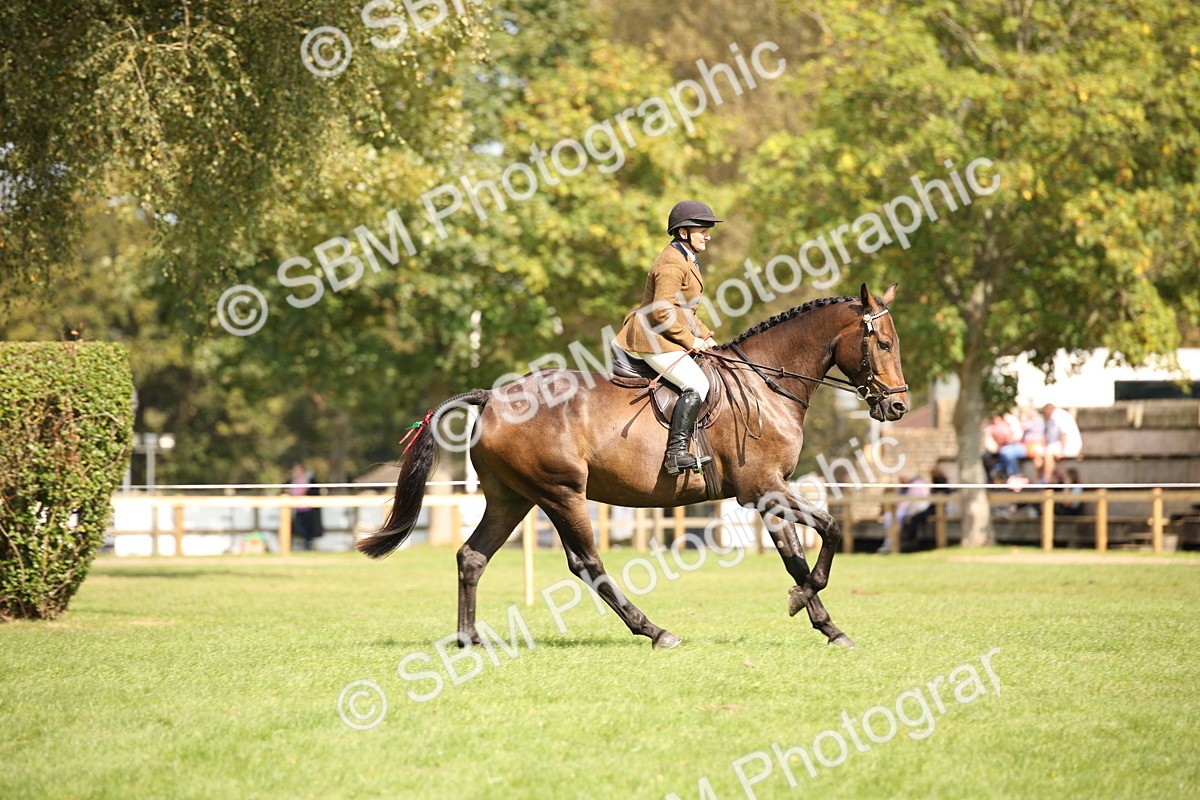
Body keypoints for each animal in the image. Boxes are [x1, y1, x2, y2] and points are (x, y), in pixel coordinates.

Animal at [358, 283, 908, 649]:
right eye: (883, 344)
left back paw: (469, 639)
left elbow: (795, 555)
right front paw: (802, 602)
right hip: (561, 494)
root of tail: (493, 397)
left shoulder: (772, 492)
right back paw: (655, 630)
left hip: (511, 499)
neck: (766, 383)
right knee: (587, 563)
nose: (898, 407)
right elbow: (830, 530)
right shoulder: (763, 489)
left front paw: (828, 626)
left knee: (472, 557)